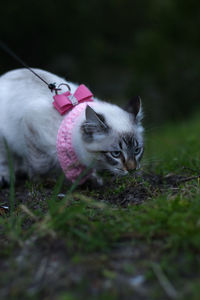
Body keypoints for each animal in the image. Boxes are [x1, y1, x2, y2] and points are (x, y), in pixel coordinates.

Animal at [0, 68, 144, 185]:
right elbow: (40, 165)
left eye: (137, 150)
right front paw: (40, 179)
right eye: (116, 154)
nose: (132, 169)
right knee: (6, 159)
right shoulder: (32, 125)